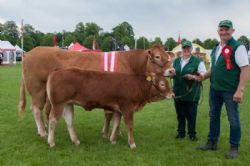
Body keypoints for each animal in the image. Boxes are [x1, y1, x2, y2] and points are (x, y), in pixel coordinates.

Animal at [19, 44, 174, 138]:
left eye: (169, 57)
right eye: (157, 56)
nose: (172, 70)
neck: (130, 64)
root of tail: (29, 53)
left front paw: (114, 132)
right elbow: (110, 115)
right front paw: (110, 133)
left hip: (47, 94)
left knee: (45, 110)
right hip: (37, 89)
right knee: (36, 109)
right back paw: (43, 132)